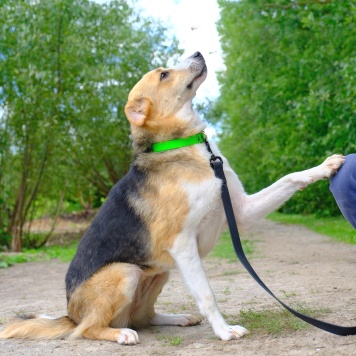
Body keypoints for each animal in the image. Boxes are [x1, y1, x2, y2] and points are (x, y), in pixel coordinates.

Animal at [0, 50, 344, 344]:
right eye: (164, 74)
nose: (198, 53)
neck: (186, 145)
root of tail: (71, 313)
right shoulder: (181, 243)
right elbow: (207, 294)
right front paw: (224, 331)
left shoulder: (242, 210)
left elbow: (290, 178)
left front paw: (325, 166)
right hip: (126, 272)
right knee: (89, 329)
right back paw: (119, 334)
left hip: (159, 272)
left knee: (143, 317)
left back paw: (176, 318)